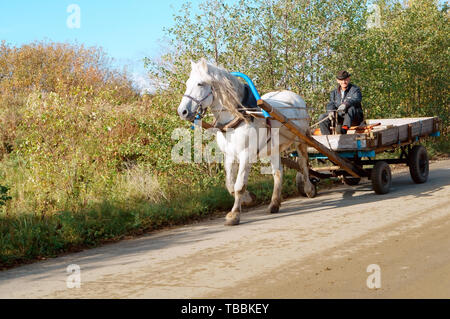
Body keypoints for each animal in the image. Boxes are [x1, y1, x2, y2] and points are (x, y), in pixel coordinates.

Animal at [178, 58, 314, 226]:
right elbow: (230, 185)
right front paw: (249, 198)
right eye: (187, 83)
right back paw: (274, 203)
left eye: (200, 84)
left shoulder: (246, 155)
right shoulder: (229, 156)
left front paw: (234, 215)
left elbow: (239, 185)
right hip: (274, 148)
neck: (240, 116)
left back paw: (309, 188)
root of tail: (295, 97)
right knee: (277, 173)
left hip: (300, 139)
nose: (182, 112)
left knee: (303, 163)